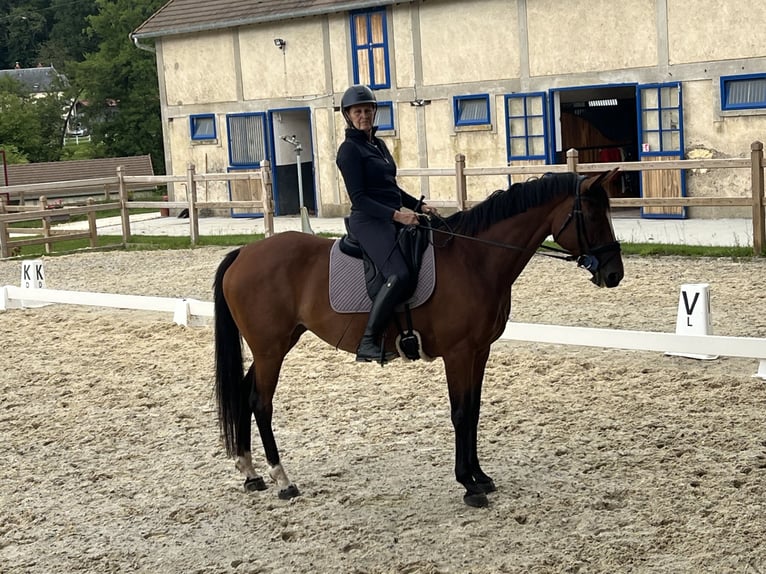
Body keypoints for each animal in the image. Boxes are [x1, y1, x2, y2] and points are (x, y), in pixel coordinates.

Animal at [214, 171, 624, 508]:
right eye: (592, 216)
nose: (614, 273)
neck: (475, 258)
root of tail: (244, 252)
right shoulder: (458, 353)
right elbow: (460, 413)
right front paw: (468, 486)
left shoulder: (480, 351)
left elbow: (473, 411)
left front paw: (481, 477)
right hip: (271, 349)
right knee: (261, 402)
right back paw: (282, 480)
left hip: (273, 346)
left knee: (245, 393)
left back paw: (250, 473)